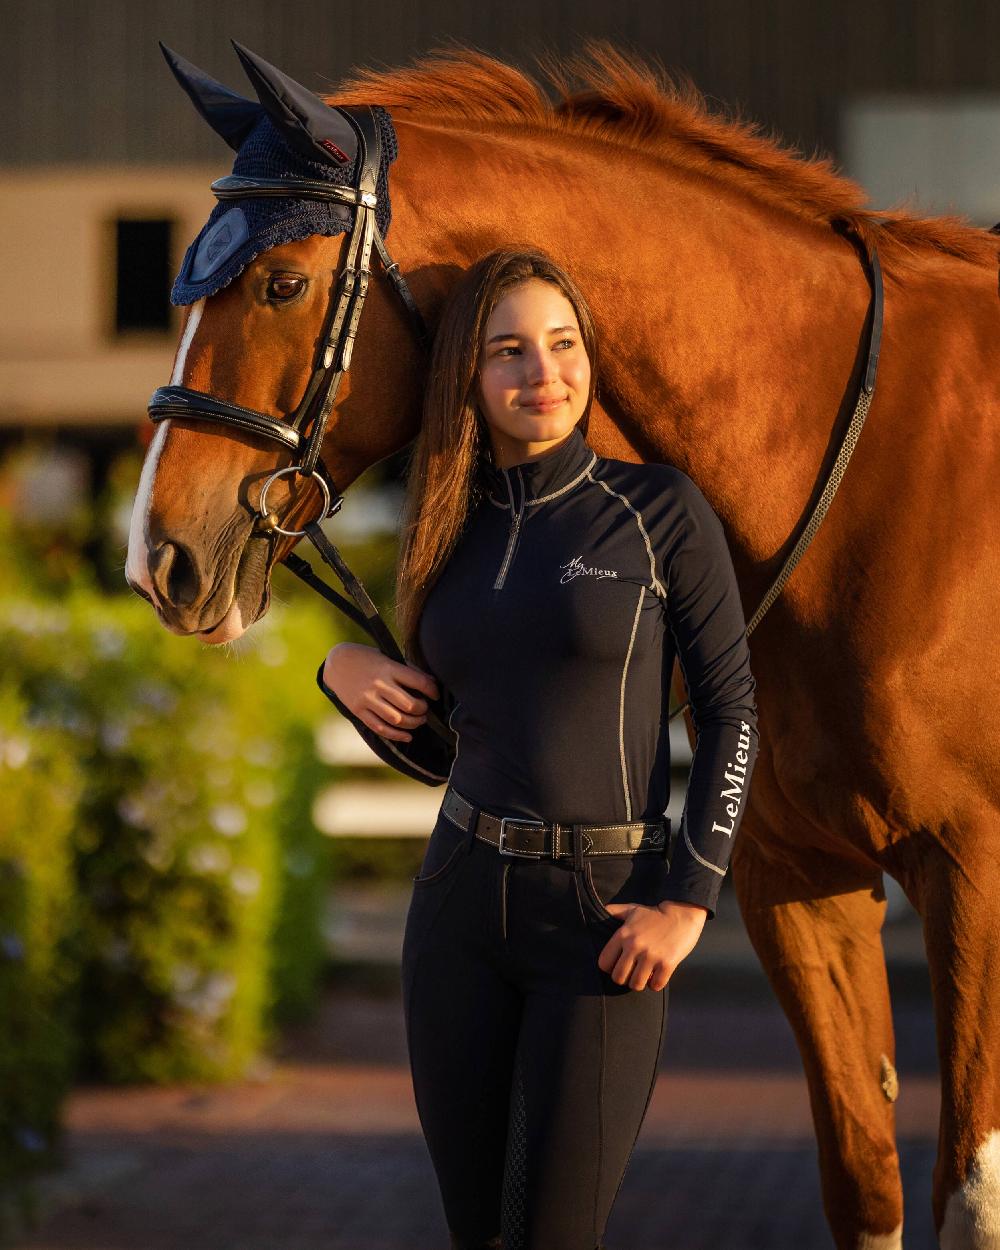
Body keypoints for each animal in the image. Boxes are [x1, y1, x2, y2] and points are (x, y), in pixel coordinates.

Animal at [128, 44, 1000, 1250]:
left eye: (281, 284)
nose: (157, 555)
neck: (877, 482)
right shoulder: (799, 881)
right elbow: (864, 1182)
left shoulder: (976, 875)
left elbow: (971, 1197)